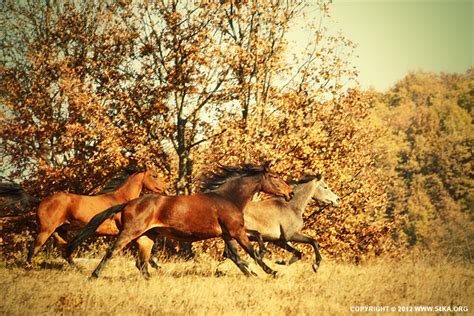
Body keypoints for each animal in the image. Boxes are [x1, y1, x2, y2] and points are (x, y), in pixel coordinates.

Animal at [26, 168, 167, 264]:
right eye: (154, 175)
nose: (164, 188)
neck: (121, 199)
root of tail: (41, 201)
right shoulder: (126, 231)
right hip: (45, 230)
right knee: (34, 248)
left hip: (60, 231)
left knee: (66, 251)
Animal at [67, 163, 292, 278]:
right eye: (274, 177)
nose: (289, 193)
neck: (228, 197)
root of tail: (128, 203)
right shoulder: (235, 231)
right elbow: (250, 251)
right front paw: (272, 271)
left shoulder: (228, 233)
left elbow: (243, 250)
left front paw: (253, 271)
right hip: (129, 233)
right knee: (112, 252)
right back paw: (93, 276)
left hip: (147, 237)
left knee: (141, 263)